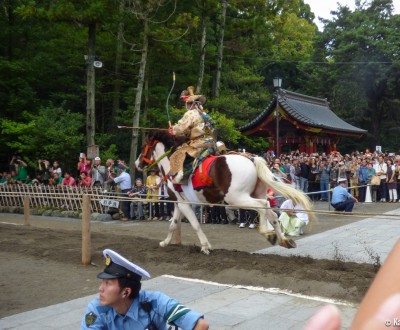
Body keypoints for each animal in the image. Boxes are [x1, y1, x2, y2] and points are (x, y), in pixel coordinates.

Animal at [136, 131, 314, 255]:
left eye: (144, 147)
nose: (137, 163)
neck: (171, 166)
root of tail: (251, 159)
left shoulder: (184, 203)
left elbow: (195, 224)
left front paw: (205, 247)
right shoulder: (179, 202)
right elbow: (173, 224)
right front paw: (165, 243)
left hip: (237, 197)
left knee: (261, 206)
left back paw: (266, 232)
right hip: (256, 193)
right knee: (272, 214)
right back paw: (283, 240)